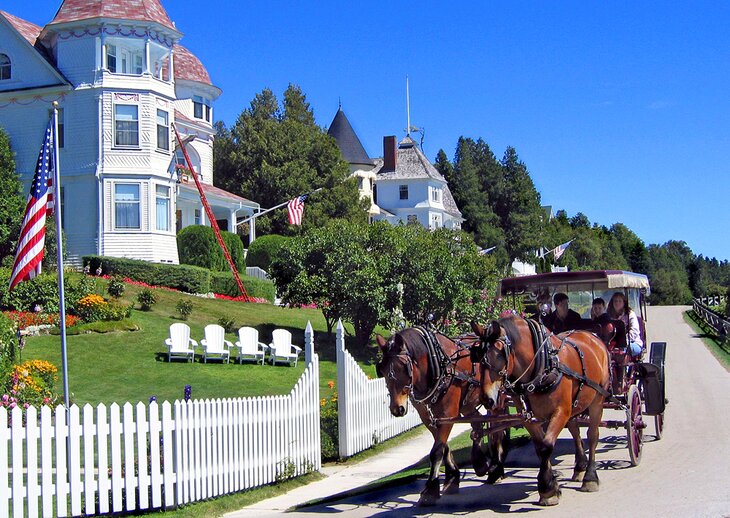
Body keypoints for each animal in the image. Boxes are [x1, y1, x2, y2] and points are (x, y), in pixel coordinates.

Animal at [376, 330, 506, 508]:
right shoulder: (428, 417)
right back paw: (480, 463)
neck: (436, 365)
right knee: (478, 425)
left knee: (497, 429)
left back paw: (496, 468)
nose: (397, 408)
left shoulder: (447, 413)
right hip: (468, 404)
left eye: (403, 366)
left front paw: (430, 490)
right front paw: (452, 478)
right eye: (382, 369)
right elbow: (443, 446)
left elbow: (436, 451)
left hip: (495, 399)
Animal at [470, 316, 612, 508]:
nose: (486, 399)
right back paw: (580, 468)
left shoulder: (560, 411)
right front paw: (550, 485)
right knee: (575, 431)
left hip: (598, 399)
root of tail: (592, 336)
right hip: (575, 406)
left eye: (499, 354)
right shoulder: (528, 417)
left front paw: (547, 489)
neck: (542, 367)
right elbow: (539, 447)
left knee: (592, 435)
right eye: (477, 356)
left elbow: (546, 446)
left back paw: (590, 477)